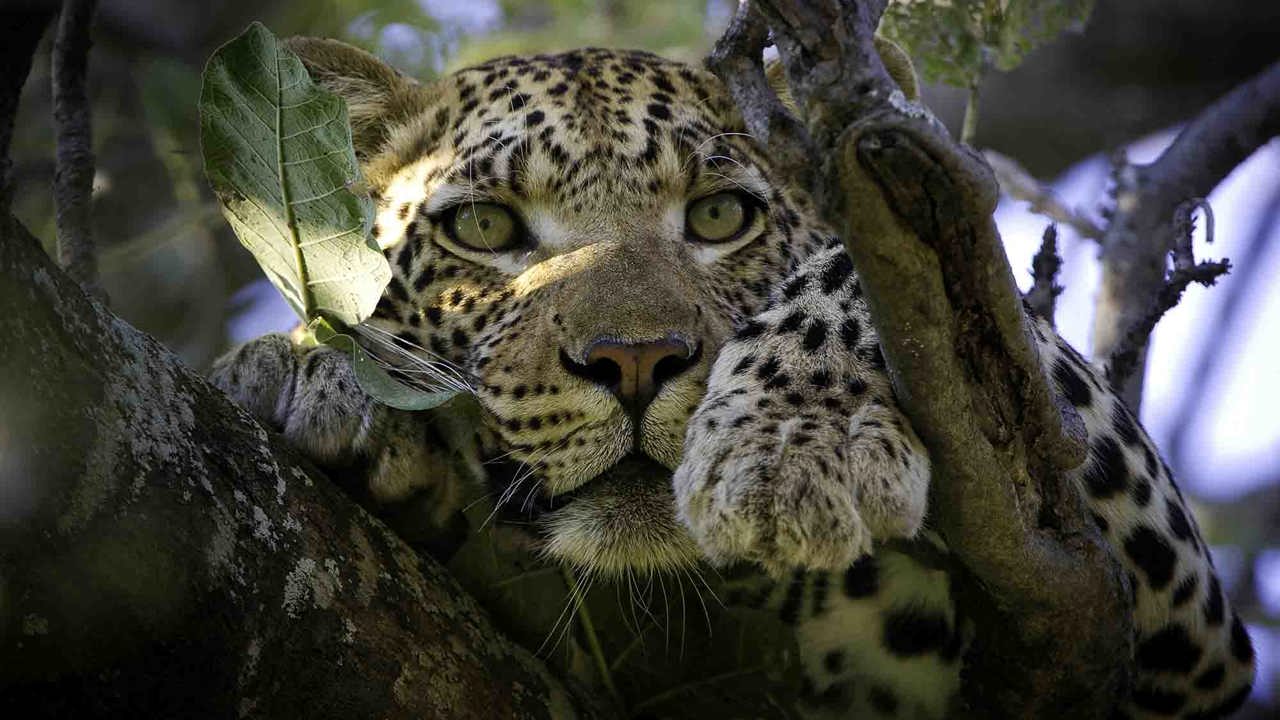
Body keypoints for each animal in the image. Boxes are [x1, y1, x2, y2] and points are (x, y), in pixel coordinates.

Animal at [210, 36, 1257, 719]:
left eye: (719, 217)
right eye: (483, 228)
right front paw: (302, 367)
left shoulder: (1180, 623)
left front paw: (791, 447)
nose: (634, 362)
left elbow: (854, 268)